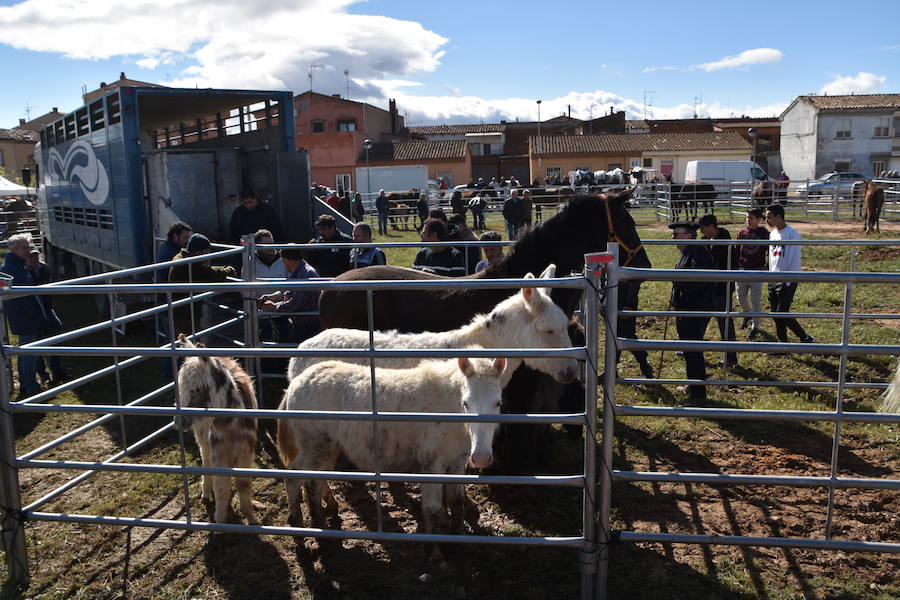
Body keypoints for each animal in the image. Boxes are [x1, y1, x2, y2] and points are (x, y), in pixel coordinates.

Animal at [176, 332, 258, 524]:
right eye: (180, 390)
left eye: (198, 389)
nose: (179, 422)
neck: (230, 427)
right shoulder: (219, 454)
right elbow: (222, 489)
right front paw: (220, 521)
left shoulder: (246, 453)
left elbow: (244, 485)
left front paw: (252, 520)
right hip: (203, 440)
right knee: (206, 461)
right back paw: (206, 494)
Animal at [278, 356, 506, 552]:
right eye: (466, 403)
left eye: (498, 403)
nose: (481, 457)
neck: (448, 411)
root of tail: (295, 383)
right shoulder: (431, 465)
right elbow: (432, 508)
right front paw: (436, 554)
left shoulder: (456, 463)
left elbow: (456, 502)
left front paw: (461, 539)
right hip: (315, 447)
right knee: (295, 478)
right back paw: (301, 527)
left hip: (327, 449)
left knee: (316, 480)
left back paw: (328, 516)